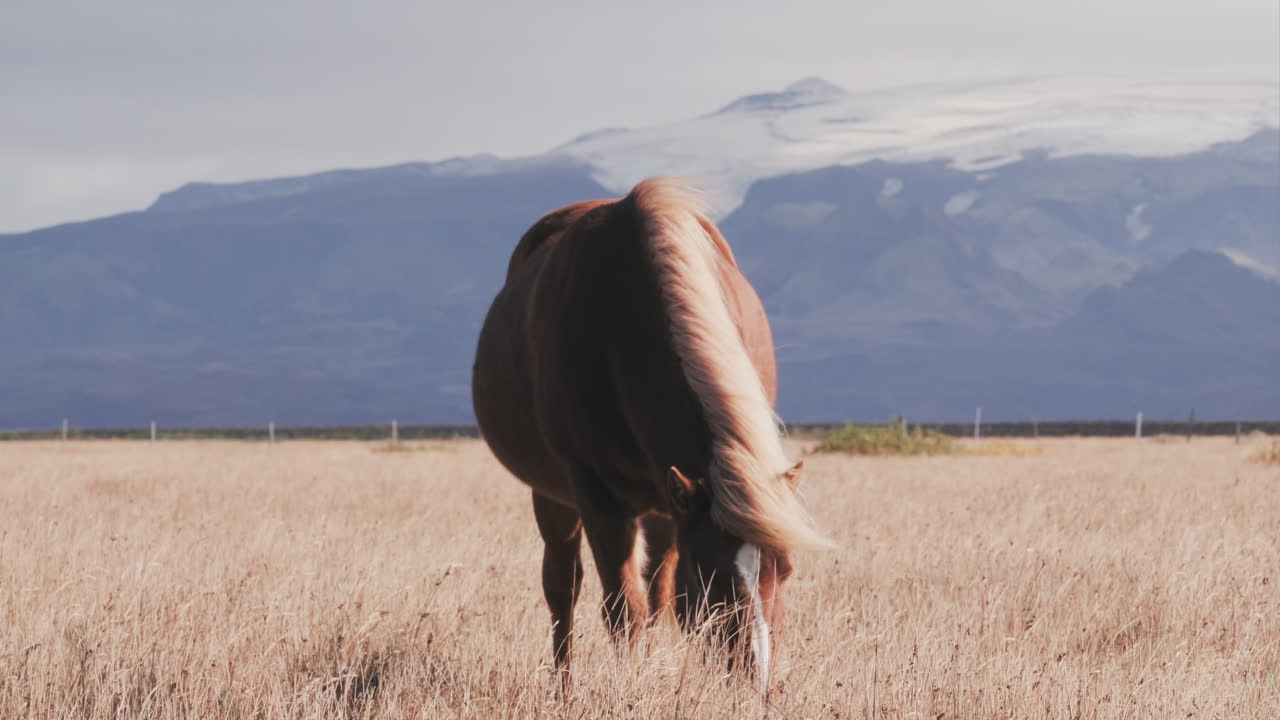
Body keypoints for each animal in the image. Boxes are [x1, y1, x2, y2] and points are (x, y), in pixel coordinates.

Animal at [471, 178, 826, 688]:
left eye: (788, 569)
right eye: (706, 570)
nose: (754, 677)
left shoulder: (677, 499)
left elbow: (660, 601)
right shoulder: (598, 499)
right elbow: (622, 608)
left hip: (662, 503)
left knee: (655, 590)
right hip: (555, 497)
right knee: (562, 586)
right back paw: (563, 682)